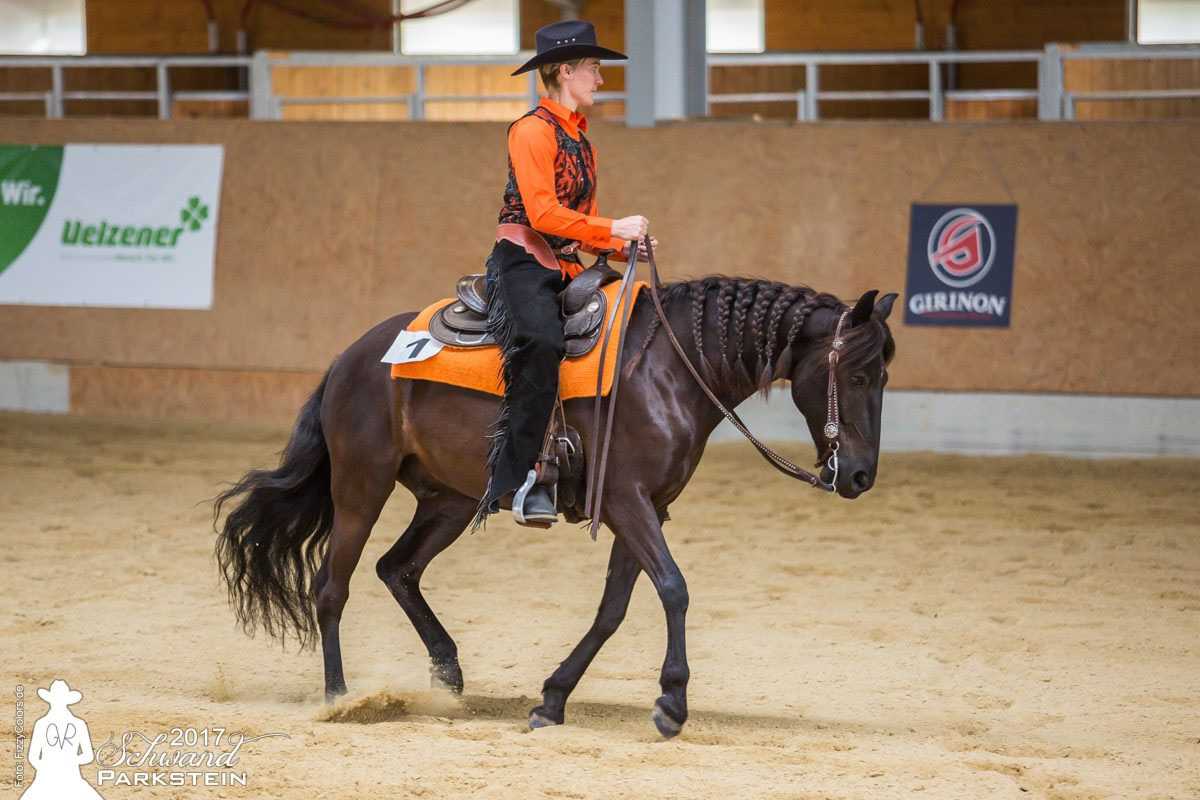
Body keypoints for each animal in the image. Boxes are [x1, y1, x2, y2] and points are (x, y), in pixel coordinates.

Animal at [214, 273, 897, 739]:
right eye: (859, 376)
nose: (861, 475)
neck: (669, 368)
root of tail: (350, 357)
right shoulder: (625, 501)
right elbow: (673, 588)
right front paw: (672, 702)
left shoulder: (645, 508)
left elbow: (614, 609)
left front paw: (552, 699)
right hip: (362, 484)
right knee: (333, 587)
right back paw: (340, 698)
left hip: (451, 500)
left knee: (397, 569)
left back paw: (448, 676)